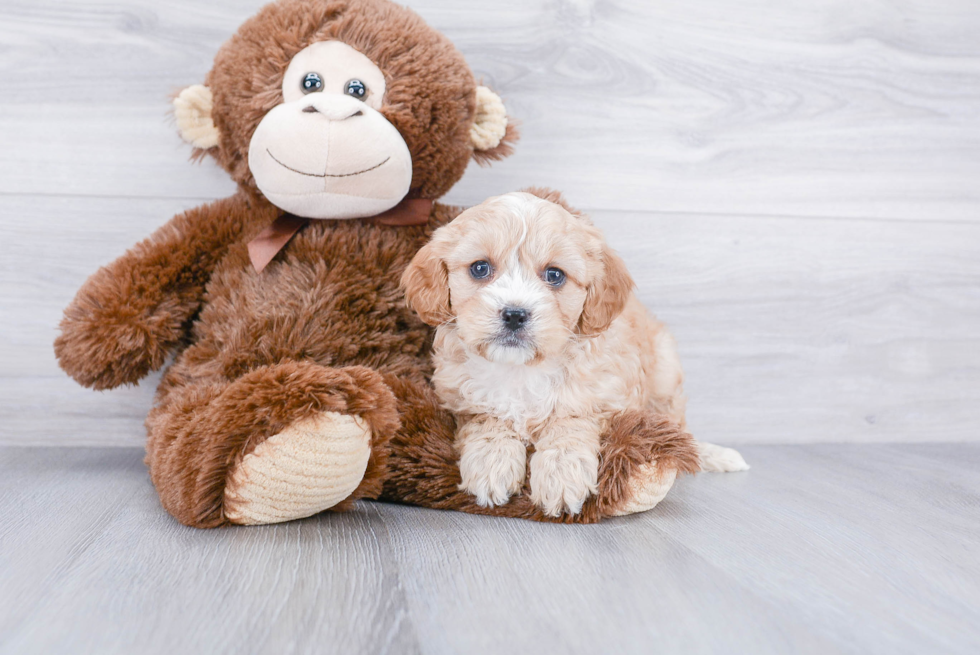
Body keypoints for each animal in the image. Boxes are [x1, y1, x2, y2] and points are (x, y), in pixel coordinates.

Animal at [402, 188, 748, 516]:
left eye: (554, 275)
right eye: (480, 268)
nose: (514, 314)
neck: (521, 368)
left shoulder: (604, 397)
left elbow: (570, 419)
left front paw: (561, 476)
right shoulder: (461, 400)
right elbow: (488, 419)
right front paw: (491, 463)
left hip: (664, 374)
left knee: (677, 428)